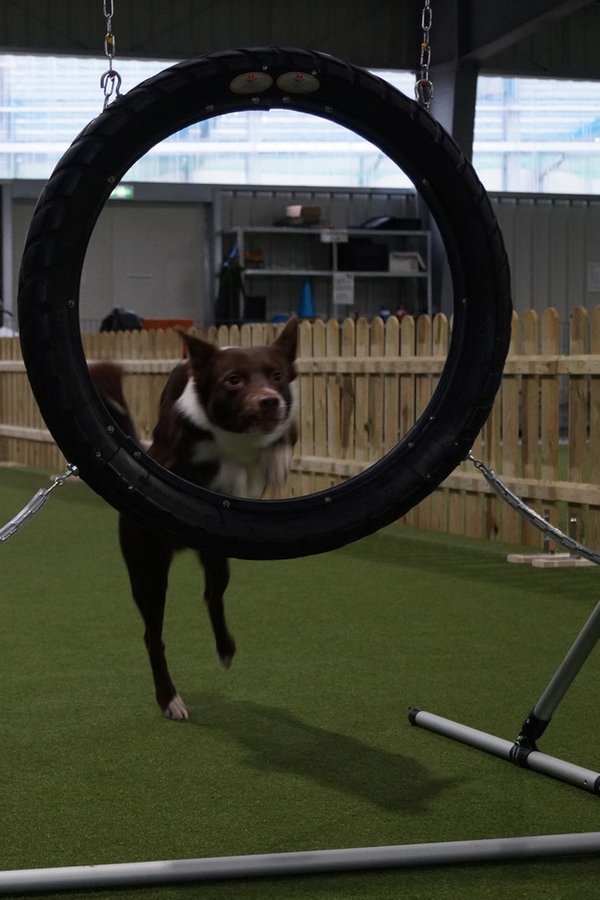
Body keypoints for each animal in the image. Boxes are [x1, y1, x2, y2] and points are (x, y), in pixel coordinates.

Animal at [89, 320, 298, 720]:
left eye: (277, 376)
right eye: (233, 380)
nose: (269, 400)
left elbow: (283, 439)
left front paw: (275, 460)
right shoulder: (171, 456)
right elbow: (203, 464)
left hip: (217, 559)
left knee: (212, 595)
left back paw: (226, 649)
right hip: (148, 572)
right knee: (153, 636)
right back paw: (169, 698)